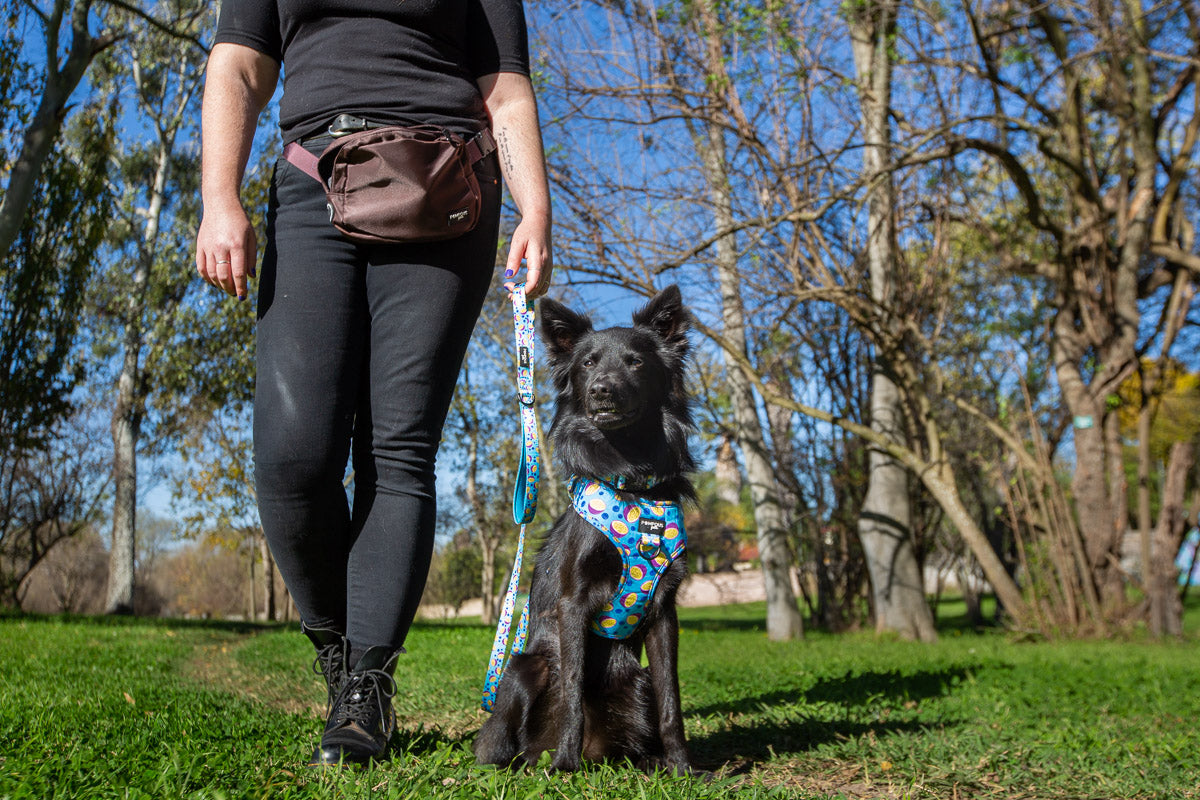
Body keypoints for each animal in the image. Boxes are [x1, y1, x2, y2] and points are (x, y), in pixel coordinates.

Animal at [472, 284, 700, 772]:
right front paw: (564, 765)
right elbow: (573, 691)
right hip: (524, 668)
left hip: (638, 682)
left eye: (635, 362)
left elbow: (672, 701)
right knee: (505, 740)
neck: (630, 477)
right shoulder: (572, 602)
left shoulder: (664, 612)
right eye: (588, 363)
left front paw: (683, 768)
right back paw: (531, 761)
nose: (601, 391)